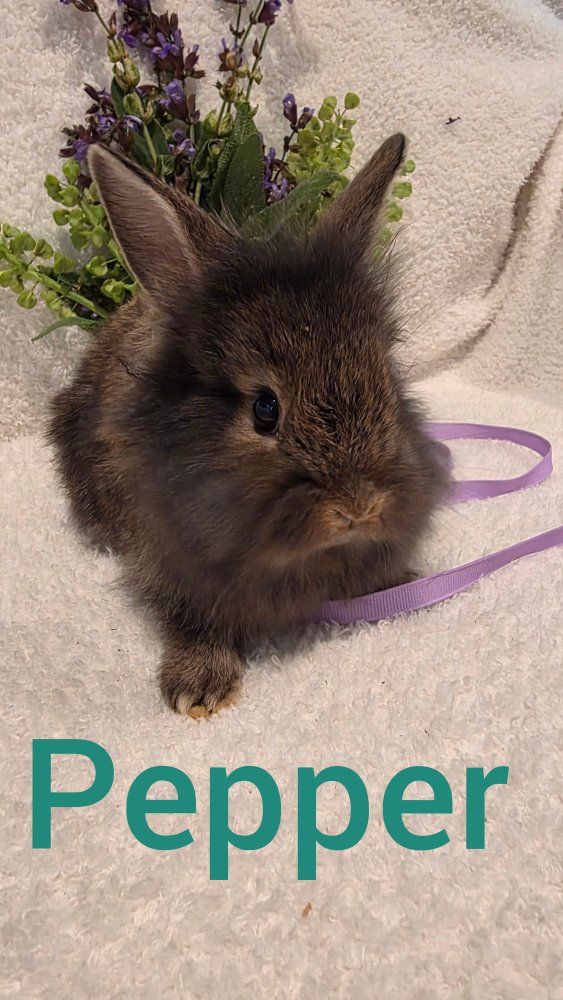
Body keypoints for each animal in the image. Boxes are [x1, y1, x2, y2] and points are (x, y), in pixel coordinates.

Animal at [49, 133, 450, 718]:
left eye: (385, 378)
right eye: (265, 409)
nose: (358, 508)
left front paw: (404, 585)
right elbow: (192, 616)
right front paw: (199, 685)